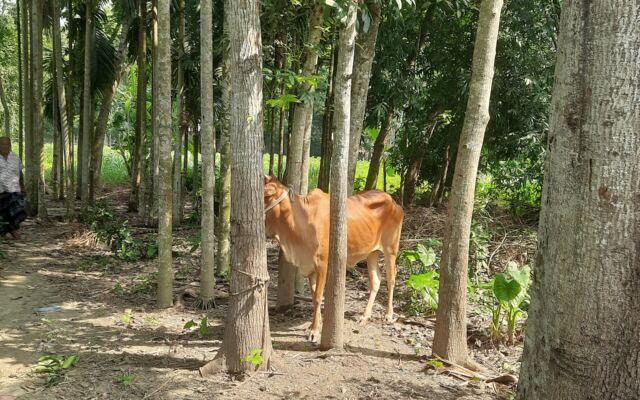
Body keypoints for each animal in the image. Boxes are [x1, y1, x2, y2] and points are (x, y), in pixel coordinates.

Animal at [264, 175, 404, 342]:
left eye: (265, 195)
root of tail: (393, 201)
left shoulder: (322, 264)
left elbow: (318, 297)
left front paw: (315, 331)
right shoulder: (310, 266)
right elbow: (313, 296)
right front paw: (314, 326)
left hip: (391, 249)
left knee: (391, 278)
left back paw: (389, 314)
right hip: (372, 252)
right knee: (375, 280)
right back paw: (365, 316)